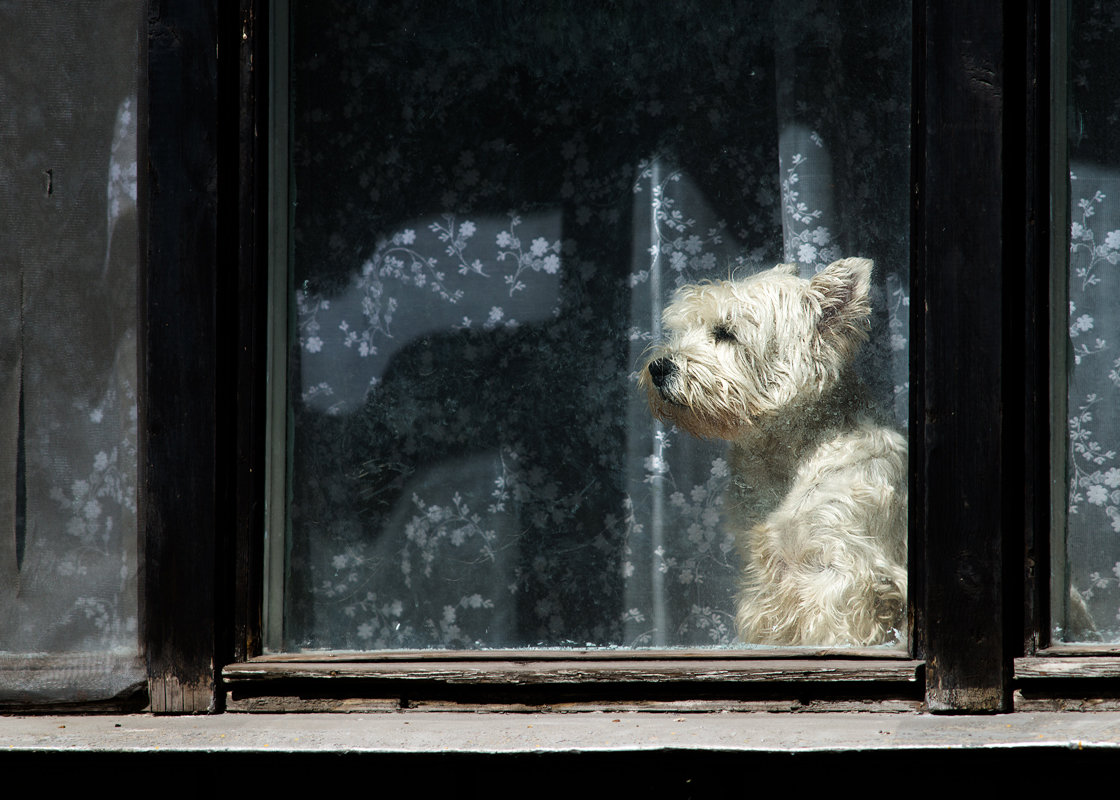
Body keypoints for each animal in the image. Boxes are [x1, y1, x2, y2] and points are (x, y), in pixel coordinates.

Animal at [645, 258, 904, 645]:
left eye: (725, 333)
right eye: (679, 330)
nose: (658, 367)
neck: (784, 458)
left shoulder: (843, 568)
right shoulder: (764, 574)